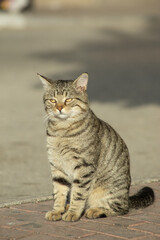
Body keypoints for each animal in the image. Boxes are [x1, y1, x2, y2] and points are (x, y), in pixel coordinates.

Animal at [38, 72, 154, 221]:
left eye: (68, 99)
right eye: (52, 100)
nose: (59, 108)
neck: (62, 130)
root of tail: (127, 198)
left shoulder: (84, 166)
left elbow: (78, 193)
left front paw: (73, 213)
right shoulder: (57, 166)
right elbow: (59, 192)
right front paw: (57, 210)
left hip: (110, 192)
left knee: (121, 208)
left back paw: (95, 210)